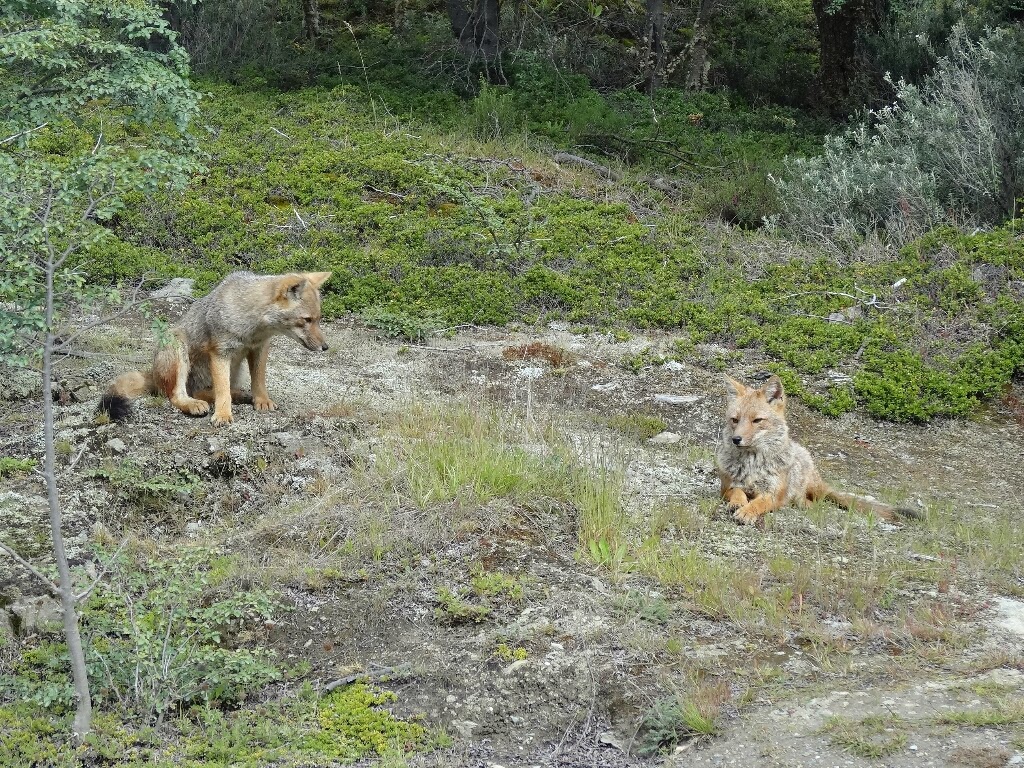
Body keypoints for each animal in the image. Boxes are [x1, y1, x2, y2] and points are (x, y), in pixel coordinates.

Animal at [98, 270, 332, 426]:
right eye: (307, 320)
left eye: (319, 319)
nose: (325, 347)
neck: (252, 325)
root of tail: (152, 374)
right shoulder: (220, 353)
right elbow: (222, 390)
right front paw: (223, 415)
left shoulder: (259, 348)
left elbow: (258, 381)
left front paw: (262, 400)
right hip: (179, 350)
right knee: (178, 395)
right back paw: (194, 404)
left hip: (236, 369)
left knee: (207, 390)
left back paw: (240, 395)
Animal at [717, 374, 922, 525]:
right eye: (735, 420)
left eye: (757, 420)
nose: (736, 439)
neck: (752, 466)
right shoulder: (727, 486)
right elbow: (737, 491)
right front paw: (738, 503)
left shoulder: (774, 494)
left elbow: (760, 503)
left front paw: (748, 511)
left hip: (808, 487)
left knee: (813, 500)